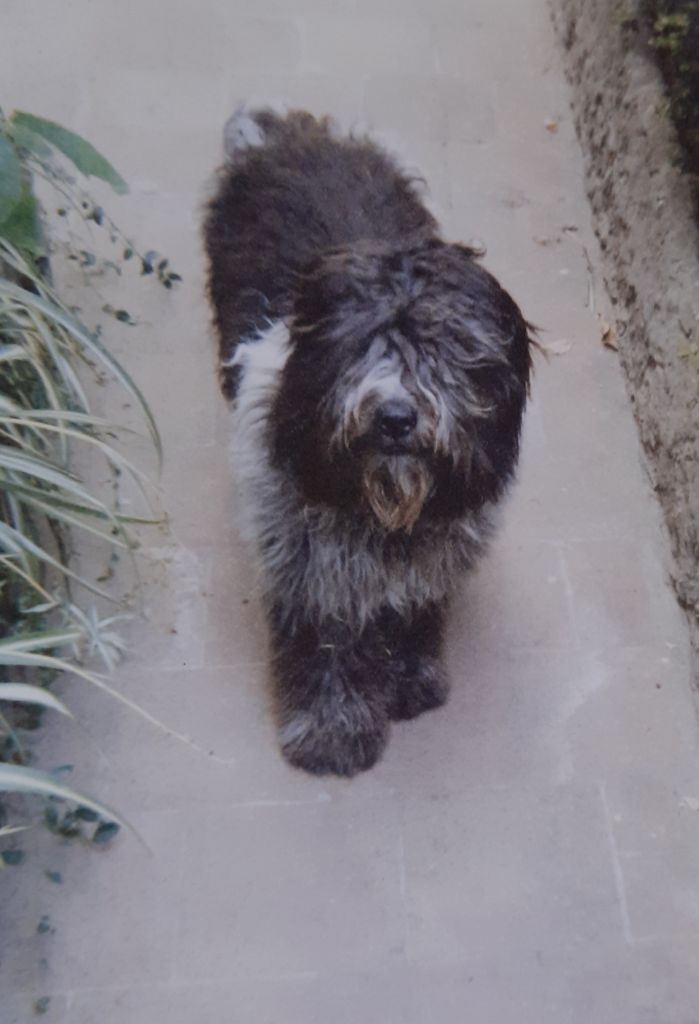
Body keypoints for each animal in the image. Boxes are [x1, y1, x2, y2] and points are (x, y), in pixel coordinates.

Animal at [204, 110, 532, 774]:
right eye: (361, 348)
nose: (397, 418)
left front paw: (408, 676)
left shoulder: (435, 551)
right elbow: (326, 635)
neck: (382, 514)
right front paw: (331, 728)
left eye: (443, 353)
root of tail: (290, 132)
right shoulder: (303, 553)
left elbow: (411, 608)